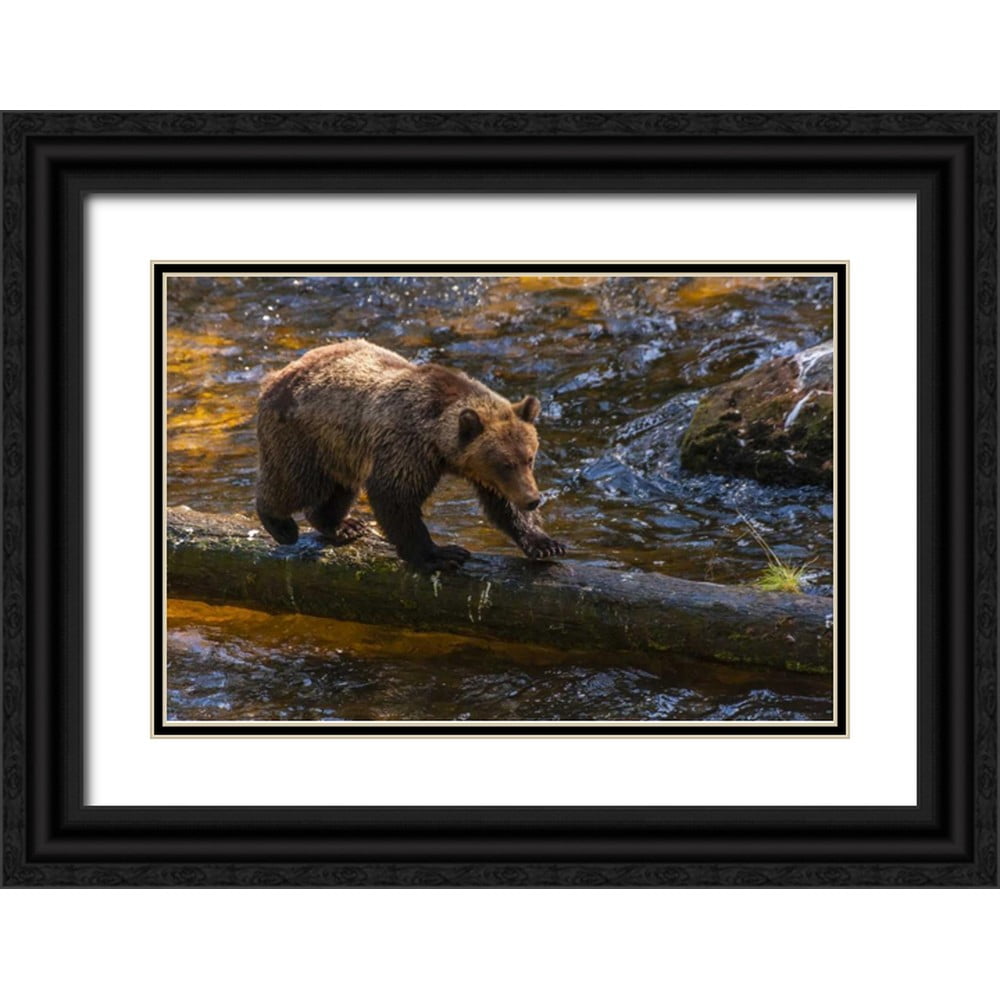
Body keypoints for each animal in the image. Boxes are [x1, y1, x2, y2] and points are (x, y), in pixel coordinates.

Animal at [255, 339, 566, 572]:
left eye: (529, 458)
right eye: (504, 463)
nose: (533, 499)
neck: (438, 442)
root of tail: (274, 376)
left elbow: (502, 504)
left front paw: (546, 543)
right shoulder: (406, 445)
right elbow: (396, 497)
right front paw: (441, 555)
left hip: (341, 450)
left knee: (339, 488)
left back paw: (344, 525)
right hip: (303, 435)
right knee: (295, 482)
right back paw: (281, 525)